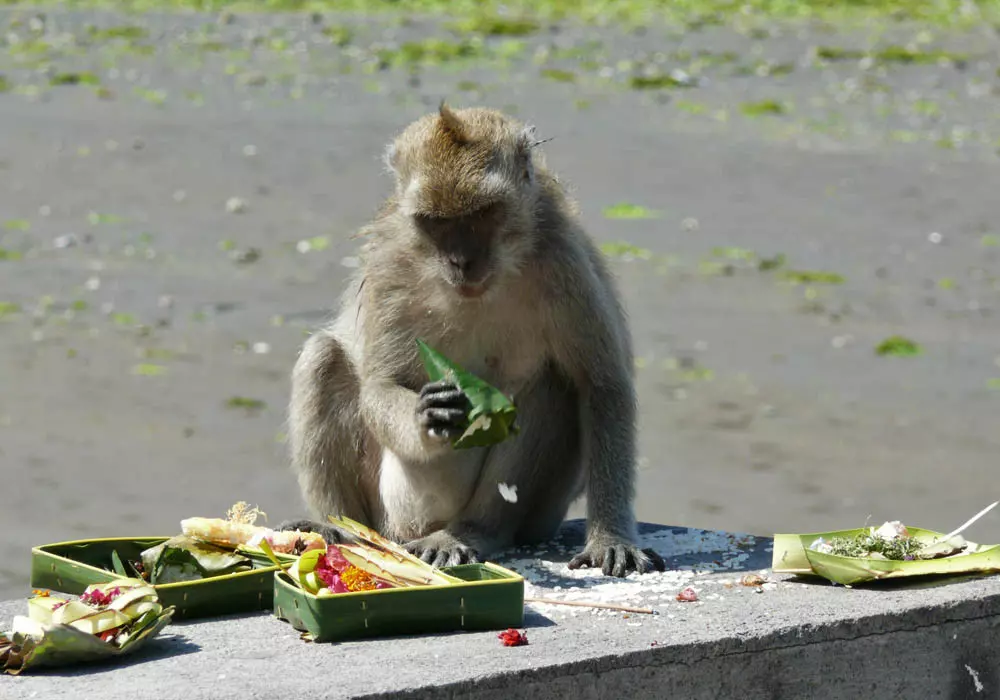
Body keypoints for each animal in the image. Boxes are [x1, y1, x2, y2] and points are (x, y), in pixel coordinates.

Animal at [278, 101, 664, 576]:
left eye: (482, 214)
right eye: (436, 222)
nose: (461, 261)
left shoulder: (562, 259)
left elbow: (602, 385)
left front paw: (610, 537)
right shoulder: (390, 264)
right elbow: (380, 384)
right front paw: (426, 417)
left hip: (539, 513)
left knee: (551, 384)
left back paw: (471, 532)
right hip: (385, 509)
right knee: (324, 357)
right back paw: (338, 526)